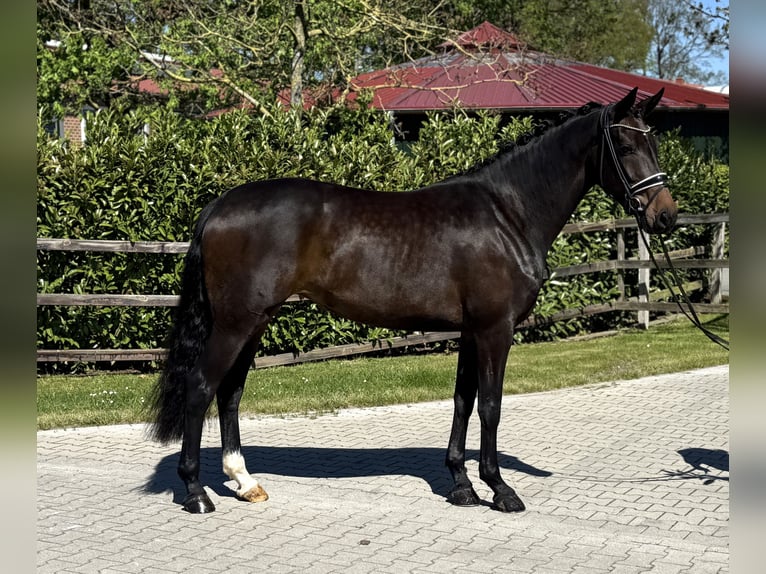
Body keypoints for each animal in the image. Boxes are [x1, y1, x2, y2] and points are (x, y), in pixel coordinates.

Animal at [149, 87, 677, 514]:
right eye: (625, 146)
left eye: (654, 142)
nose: (665, 216)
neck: (507, 213)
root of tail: (219, 205)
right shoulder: (495, 329)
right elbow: (490, 405)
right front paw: (500, 490)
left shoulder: (472, 330)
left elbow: (463, 400)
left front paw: (462, 486)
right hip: (236, 322)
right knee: (201, 387)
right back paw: (196, 493)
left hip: (254, 321)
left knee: (230, 392)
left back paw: (244, 481)